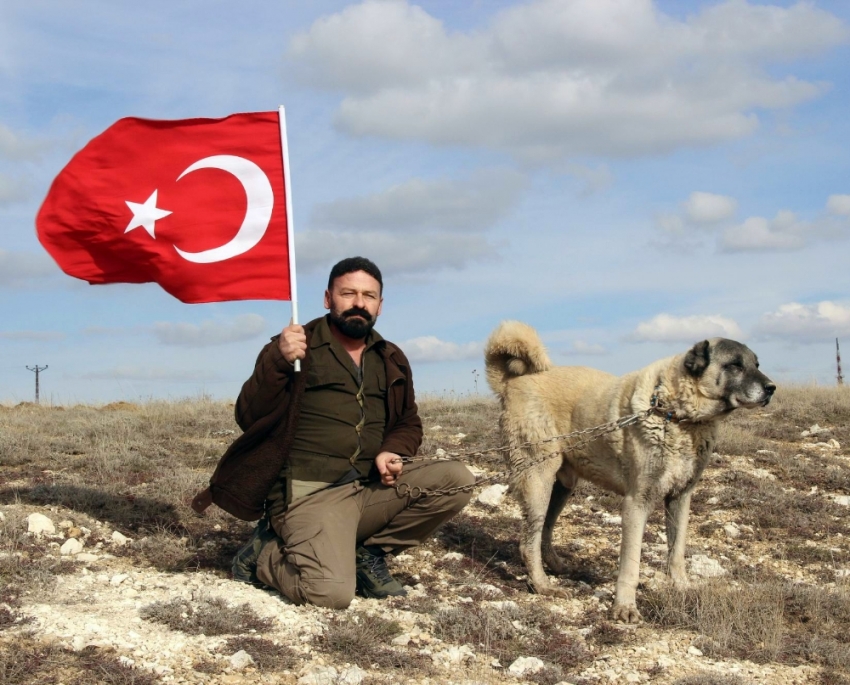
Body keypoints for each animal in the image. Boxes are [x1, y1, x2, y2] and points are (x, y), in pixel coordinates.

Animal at [480, 320, 772, 620]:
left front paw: (681, 587)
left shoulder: (679, 499)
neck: (676, 415)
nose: (771, 388)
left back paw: (558, 568)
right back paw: (542, 585)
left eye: (756, 363)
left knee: (544, 532)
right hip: (538, 480)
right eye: (735, 365)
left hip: (562, 487)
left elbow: (676, 552)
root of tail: (512, 383)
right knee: (528, 541)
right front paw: (625, 606)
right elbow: (631, 563)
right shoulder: (636, 503)